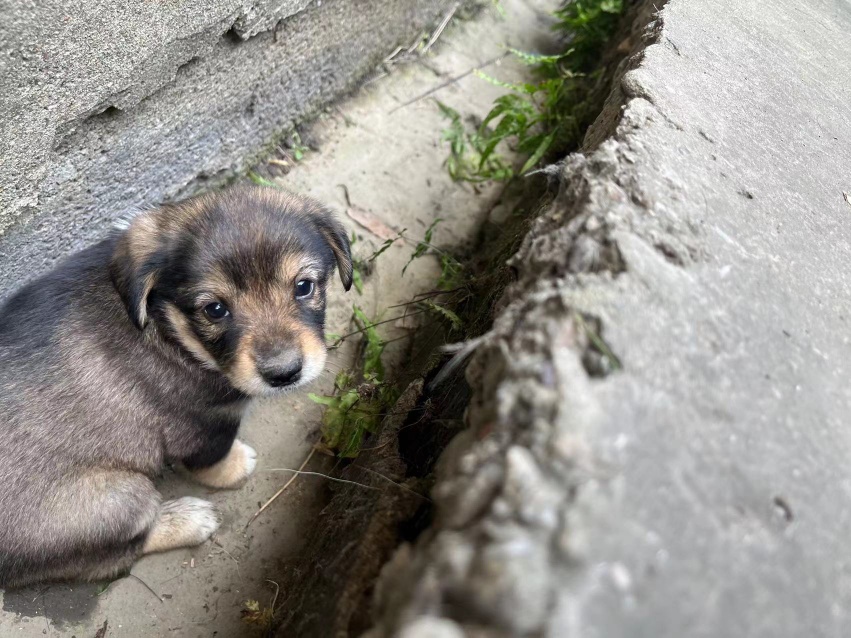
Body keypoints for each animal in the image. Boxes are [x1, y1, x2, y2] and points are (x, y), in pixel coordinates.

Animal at [0, 186, 352, 588]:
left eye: (304, 287)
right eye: (215, 310)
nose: (284, 373)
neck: (166, 326)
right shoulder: (201, 425)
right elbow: (212, 460)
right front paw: (234, 467)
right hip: (119, 495)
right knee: (114, 556)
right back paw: (188, 519)